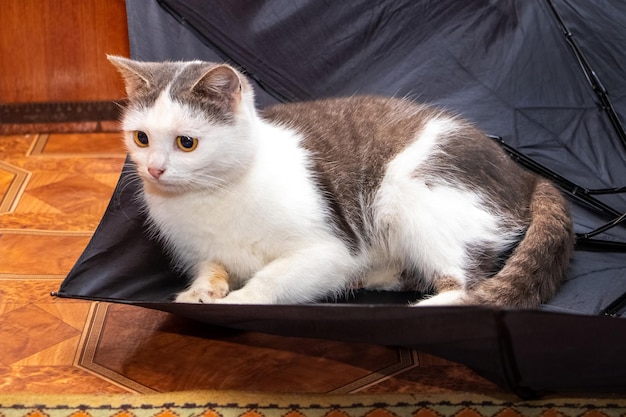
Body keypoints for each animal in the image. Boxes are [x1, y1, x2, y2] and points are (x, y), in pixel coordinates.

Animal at [108, 55, 572, 308]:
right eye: (141, 138)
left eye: (186, 142)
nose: (155, 169)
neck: (210, 197)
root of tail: (522, 174)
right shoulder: (201, 252)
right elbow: (211, 268)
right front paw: (202, 291)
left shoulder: (329, 248)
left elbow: (273, 277)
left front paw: (242, 297)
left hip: (414, 199)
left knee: (466, 286)